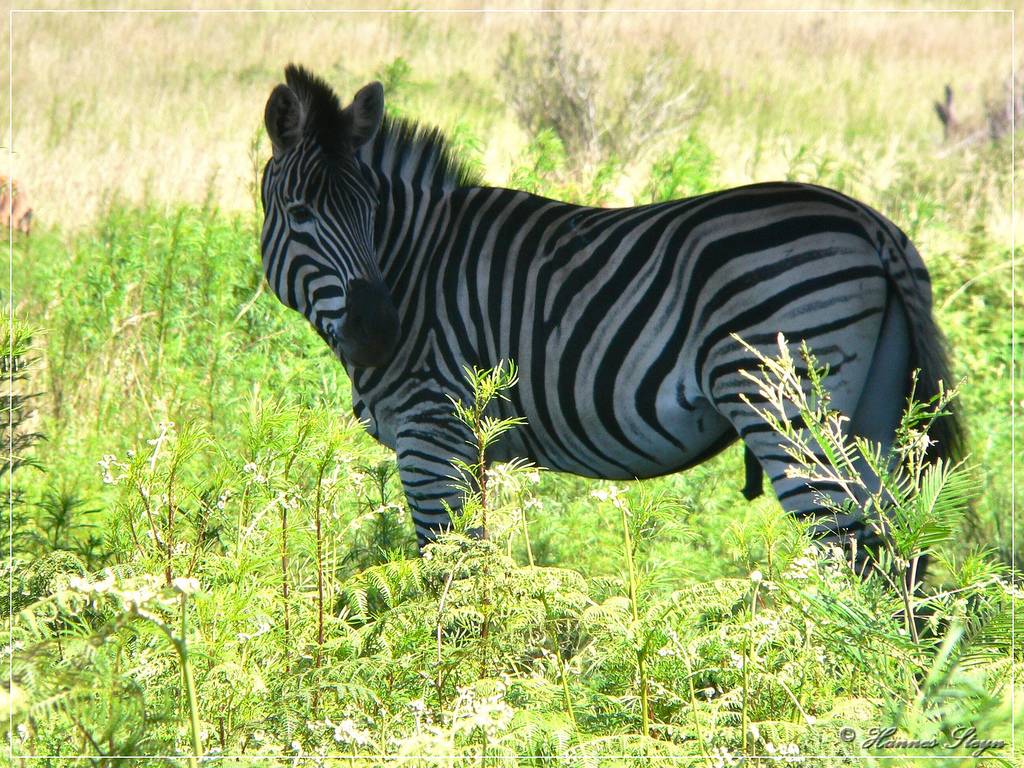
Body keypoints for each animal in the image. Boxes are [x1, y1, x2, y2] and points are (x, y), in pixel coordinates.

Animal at [260, 64, 962, 561]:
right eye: (300, 214)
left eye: (371, 212)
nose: (380, 334)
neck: (413, 263)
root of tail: (873, 226)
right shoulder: (468, 448)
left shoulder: (431, 433)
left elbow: (445, 572)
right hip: (878, 412)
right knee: (899, 547)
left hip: (787, 403)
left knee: (849, 550)